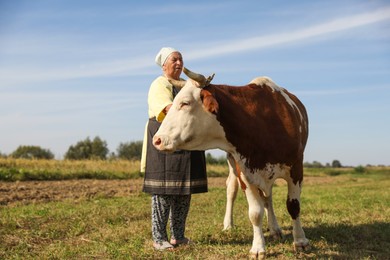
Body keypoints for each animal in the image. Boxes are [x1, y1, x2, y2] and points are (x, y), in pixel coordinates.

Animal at [154, 68, 310, 258]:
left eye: (185, 103)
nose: (157, 140)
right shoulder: (244, 171)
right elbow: (255, 213)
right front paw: (258, 248)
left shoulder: (296, 168)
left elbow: (293, 206)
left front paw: (300, 241)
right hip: (232, 163)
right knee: (233, 190)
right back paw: (229, 225)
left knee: (268, 197)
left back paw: (274, 229)